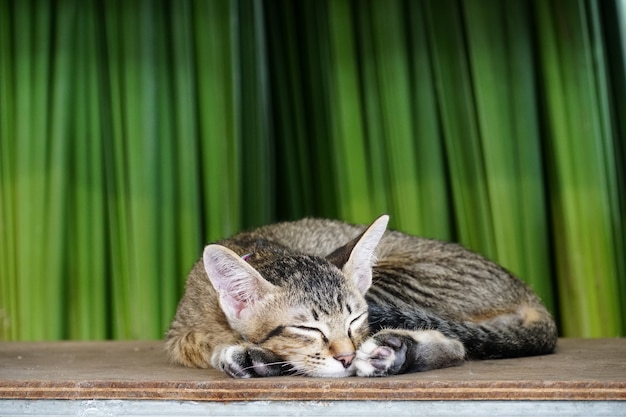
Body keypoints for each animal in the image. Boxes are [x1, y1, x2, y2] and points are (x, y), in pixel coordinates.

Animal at [166, 214, 556, 376]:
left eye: (354, 319)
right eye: (307, 328)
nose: (346, 357)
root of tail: (528, 292)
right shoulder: (179, 334)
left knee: (457, 343)